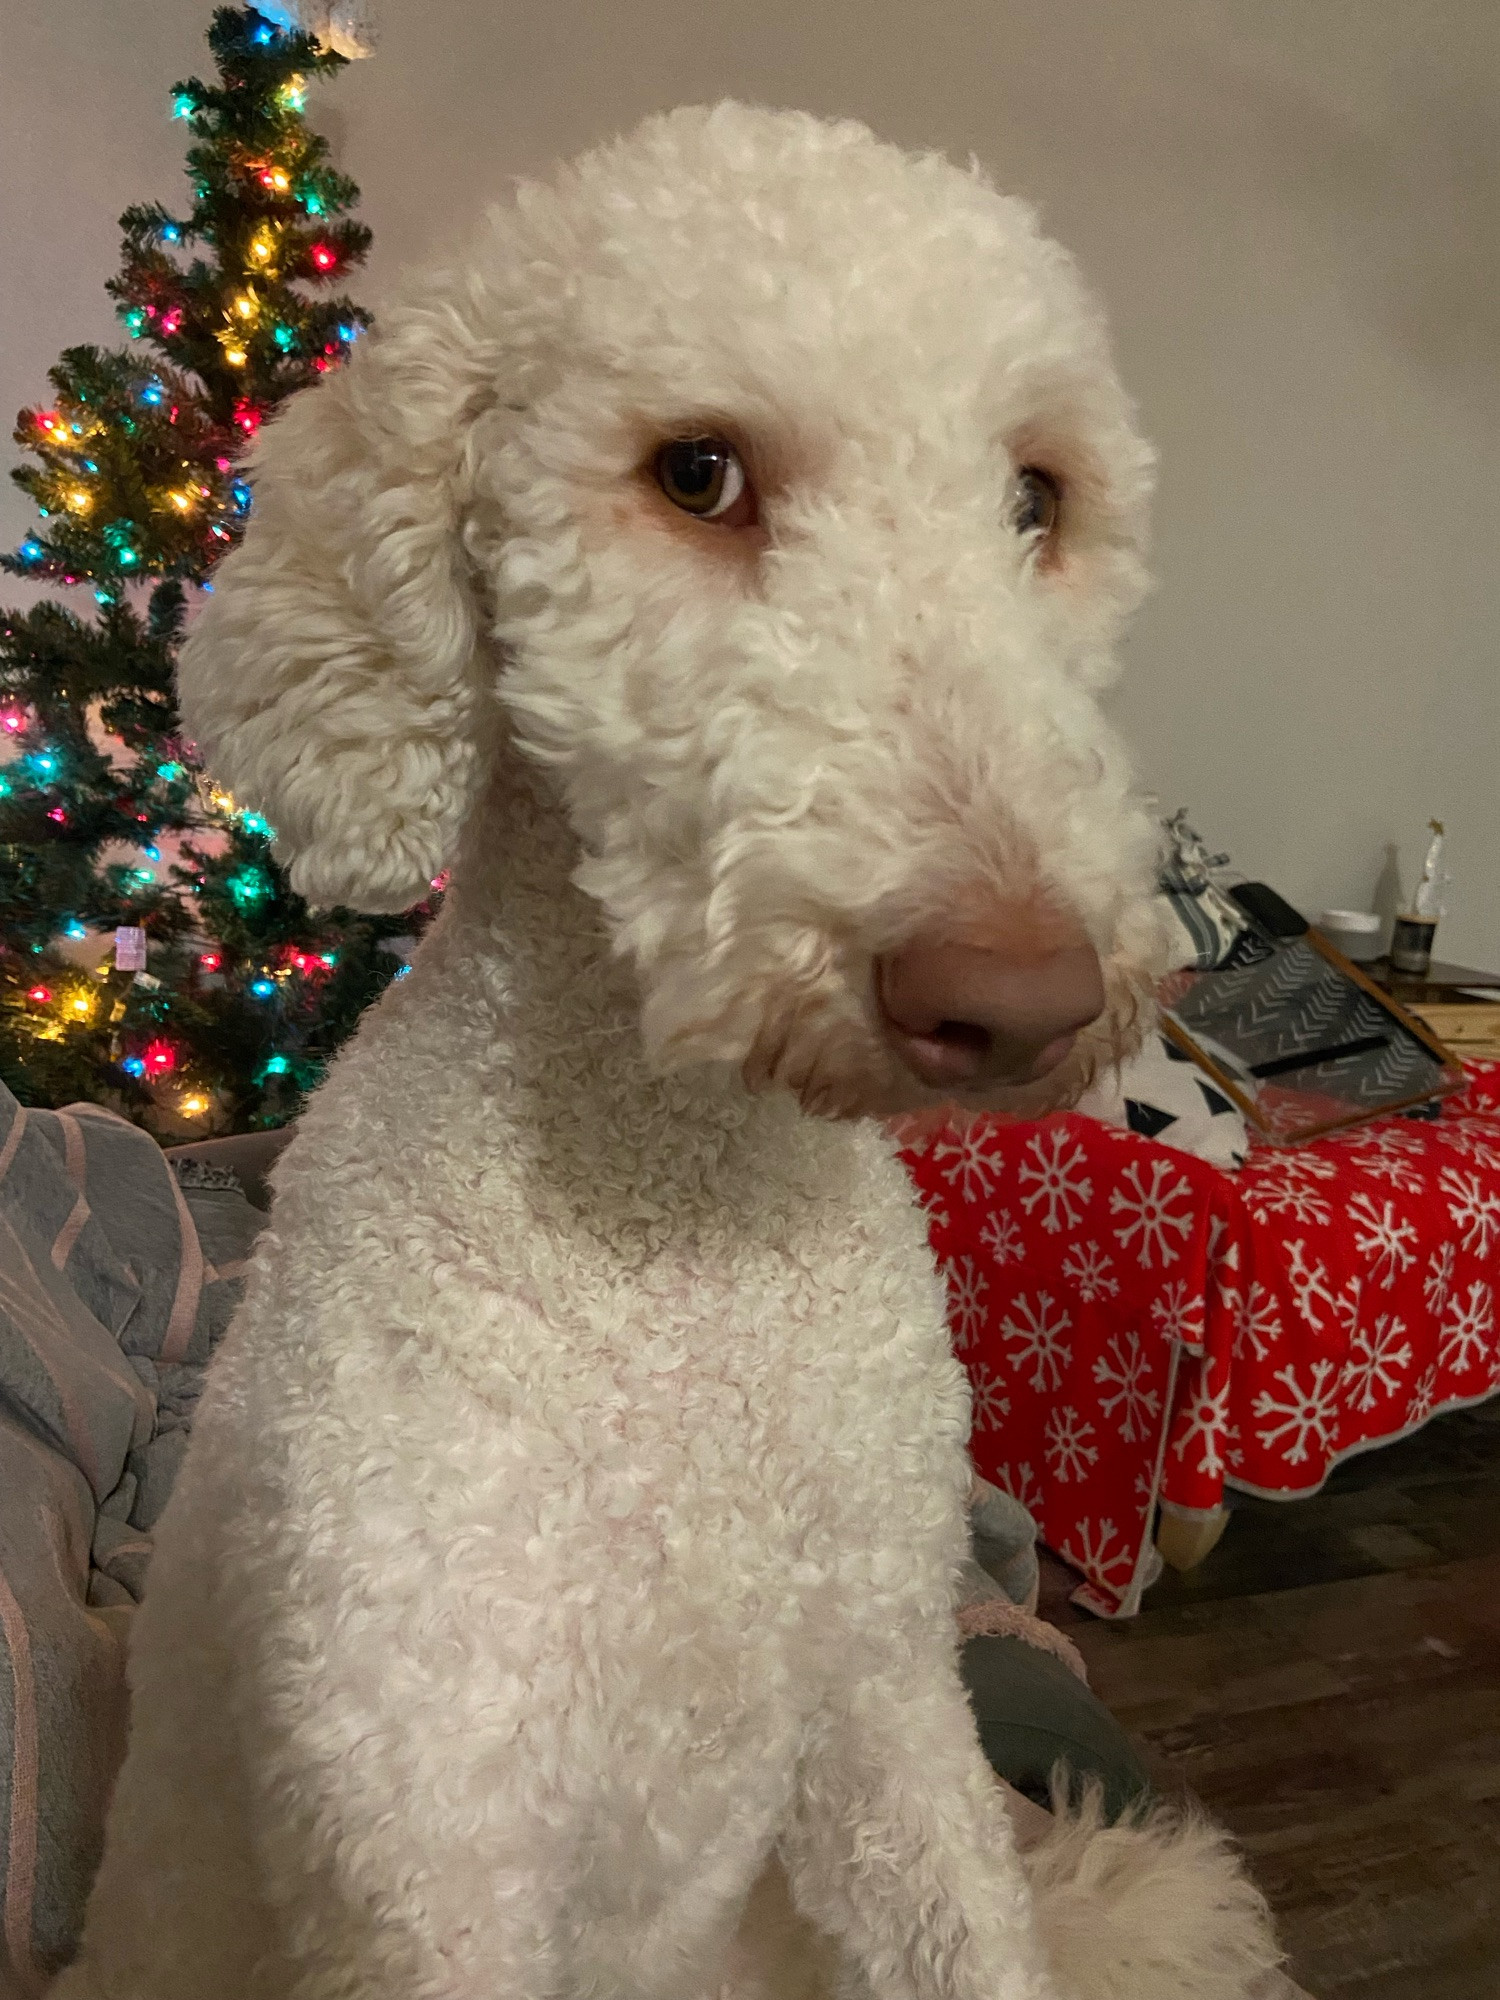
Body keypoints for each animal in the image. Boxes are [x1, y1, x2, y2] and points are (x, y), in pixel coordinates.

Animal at [55, 105, 1280, 2000]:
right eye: (697, 474)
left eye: (1036, 497)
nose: (1018, 998)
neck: (688, 1242)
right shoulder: (429, 1828)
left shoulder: (888, 1711)